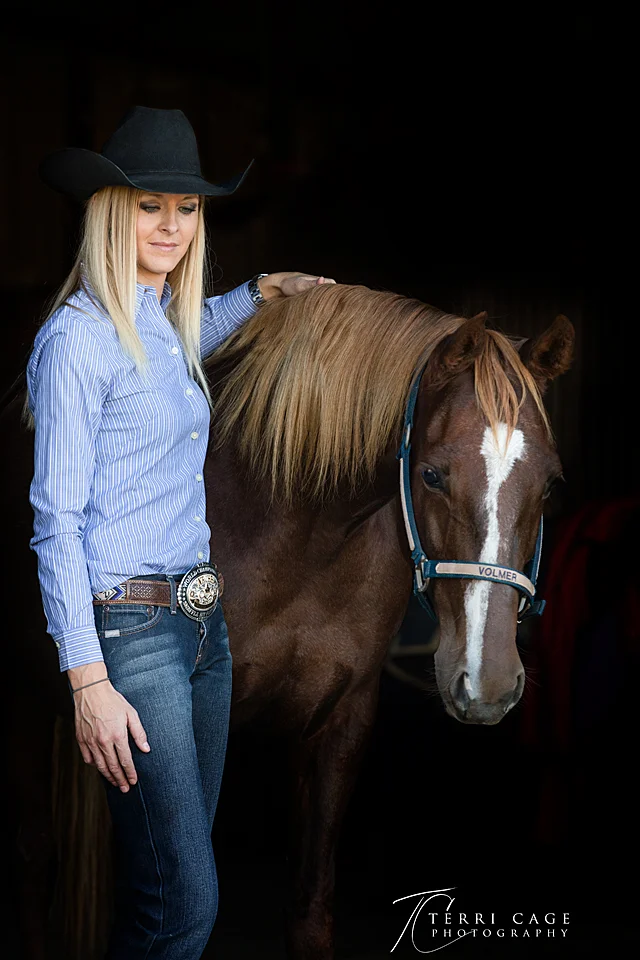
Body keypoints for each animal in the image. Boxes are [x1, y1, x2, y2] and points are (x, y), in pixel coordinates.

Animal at [4, 281, 573, 959]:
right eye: (432, 474)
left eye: (550, 485)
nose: (487, 683)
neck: (300, 528)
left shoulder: (339, 723)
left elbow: (310, 913)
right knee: (36, 858)